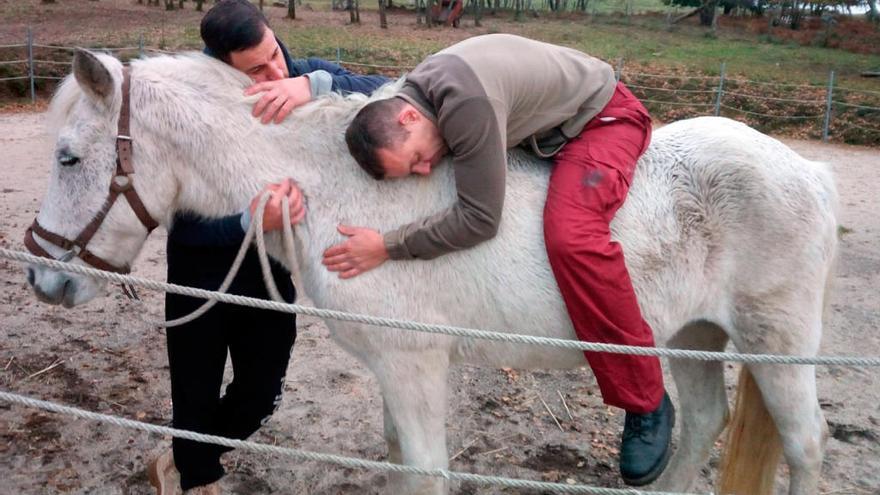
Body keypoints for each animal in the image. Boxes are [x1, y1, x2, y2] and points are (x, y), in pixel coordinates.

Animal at [25, 51, 840, 495]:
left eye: (68, 156)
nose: (42, 278)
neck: (338, 186)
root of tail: (807, 170)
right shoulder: (394, 370)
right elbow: (399, 463)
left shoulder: (414, 364)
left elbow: (424, 471)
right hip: (693, 335)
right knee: (703, 422)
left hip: (775, 342)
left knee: (805, 443)